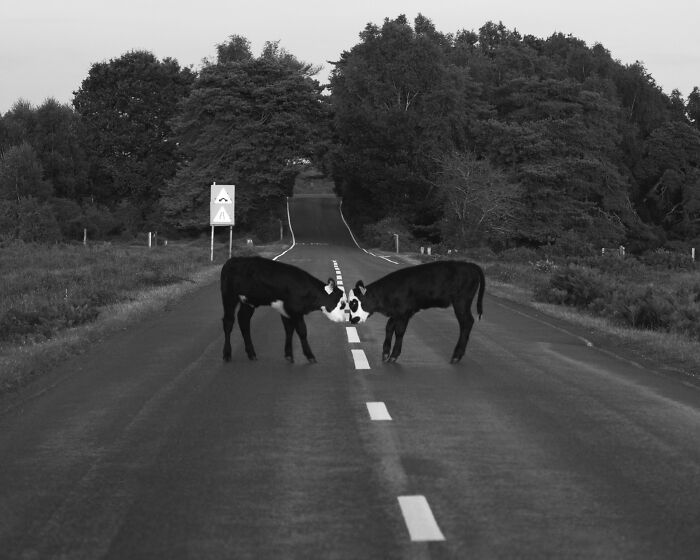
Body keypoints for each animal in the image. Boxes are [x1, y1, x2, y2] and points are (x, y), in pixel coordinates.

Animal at [347, 260, 485, 363]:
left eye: (354, 302)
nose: (352, 320)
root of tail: (470, 264)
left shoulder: (404, 313)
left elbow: (399, 332)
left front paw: (394, 356)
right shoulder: (397, 313)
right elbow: (389, 327)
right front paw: (385, 353)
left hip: (461, 302)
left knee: (467, 322)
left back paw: (456, 355)